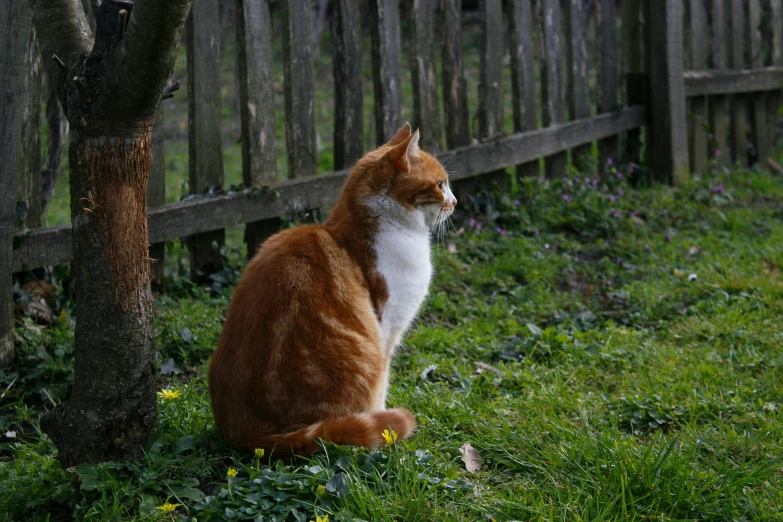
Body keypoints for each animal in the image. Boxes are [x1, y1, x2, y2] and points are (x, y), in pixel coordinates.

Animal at [208, 123, 456, 456]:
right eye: (440, 185)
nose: (455, 202)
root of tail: (248, 434)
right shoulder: (386, 333)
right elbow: (383, 384)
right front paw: (383, 424)